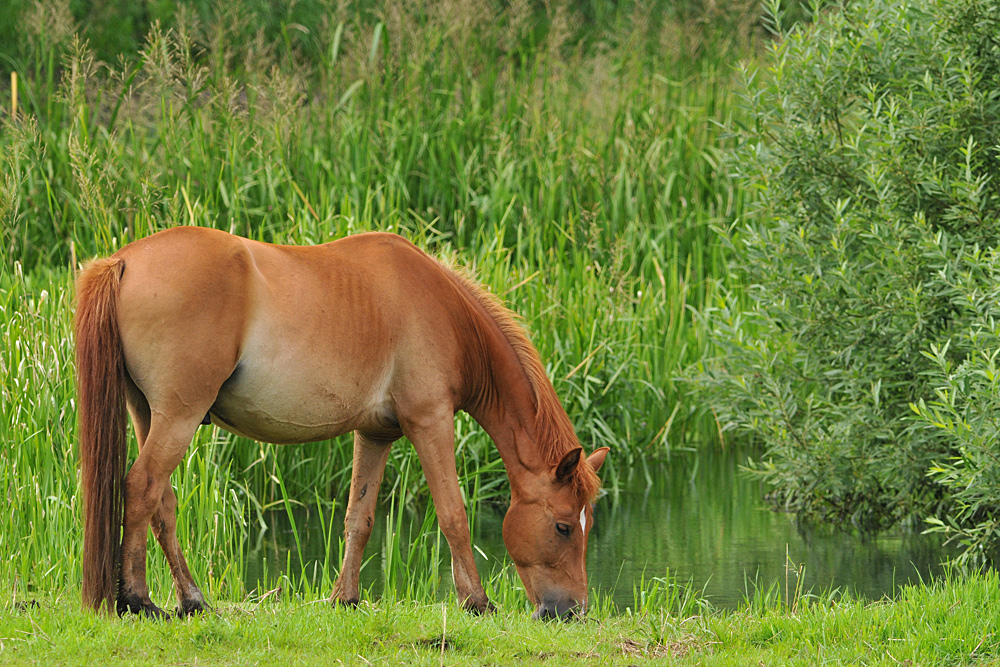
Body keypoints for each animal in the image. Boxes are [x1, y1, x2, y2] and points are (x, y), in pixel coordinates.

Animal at [76, 227, 608, 624]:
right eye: (564, 526)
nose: (573, 611)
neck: (442, 310)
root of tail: (122, 261)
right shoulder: (430, 420)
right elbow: (453, 515)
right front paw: (475, 601)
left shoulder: (376, 433)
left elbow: (360, 517)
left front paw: (344, 598)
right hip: (179, 416)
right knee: (142, 488)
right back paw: (139, 600)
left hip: (149, 414)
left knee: (161, 503)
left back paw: (192, 599)